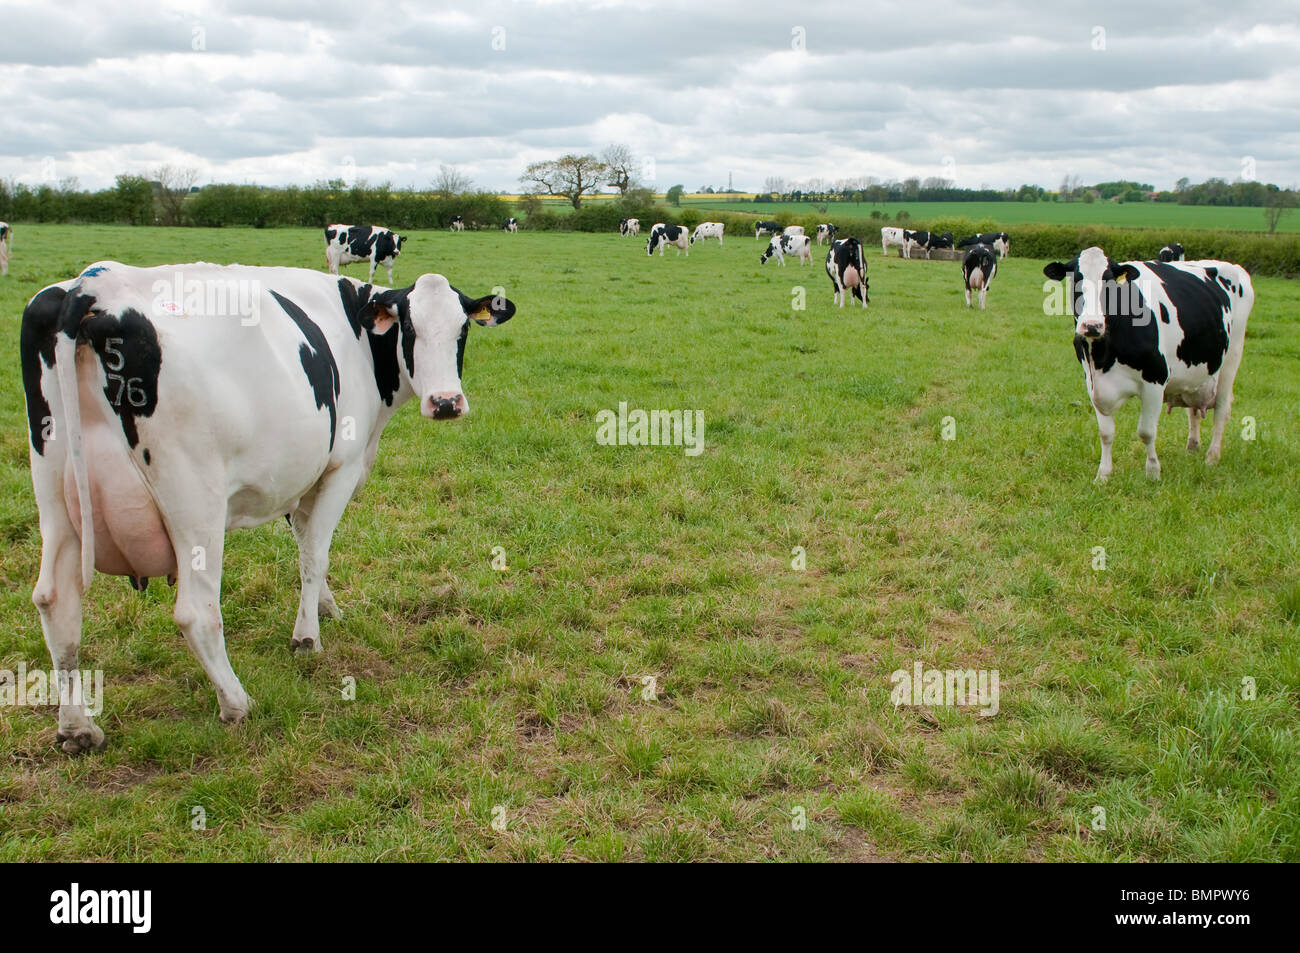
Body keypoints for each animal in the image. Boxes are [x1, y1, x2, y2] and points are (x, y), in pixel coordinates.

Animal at [20, 260, 516, 752]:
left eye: (462, 330)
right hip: (195, 503)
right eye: (410, 328)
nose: (446, 402)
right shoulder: (341, 467)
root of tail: (91, 287)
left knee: (54, 600)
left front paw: (323, 607)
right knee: (195, 612)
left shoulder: (303, 476)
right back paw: (237, 703)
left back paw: (78, 728)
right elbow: (317, 553)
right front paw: (307, 637)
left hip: (56, 495)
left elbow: (305, 545)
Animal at [1043, 246, 1253, 481]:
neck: (1103, 356)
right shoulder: (1093, 383)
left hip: (1231, 358)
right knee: (1194, 411)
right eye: (1075, 279)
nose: (1092, 325)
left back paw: (1212, 457)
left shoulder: (1155, 380)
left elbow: (1146, 431)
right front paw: (1103, 475)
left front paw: (1153, 472)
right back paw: (1193, 447)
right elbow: (1106, 433)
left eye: (1109, 280)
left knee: (1221, 411)